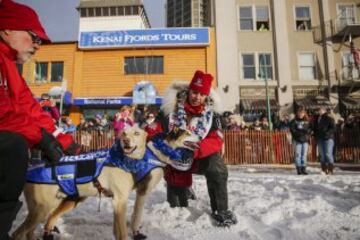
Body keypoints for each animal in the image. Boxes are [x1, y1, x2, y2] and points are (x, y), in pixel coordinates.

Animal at [12, 125, 197, 240]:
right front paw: (136, 233)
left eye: (137, 133)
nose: (199, 135)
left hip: (64, 202)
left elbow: (119, 228)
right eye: (187, 132)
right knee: (19, 233)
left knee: (47, 221)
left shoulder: (119, 201)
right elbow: (134, 220)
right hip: (42, 209)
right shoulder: (135, 195)